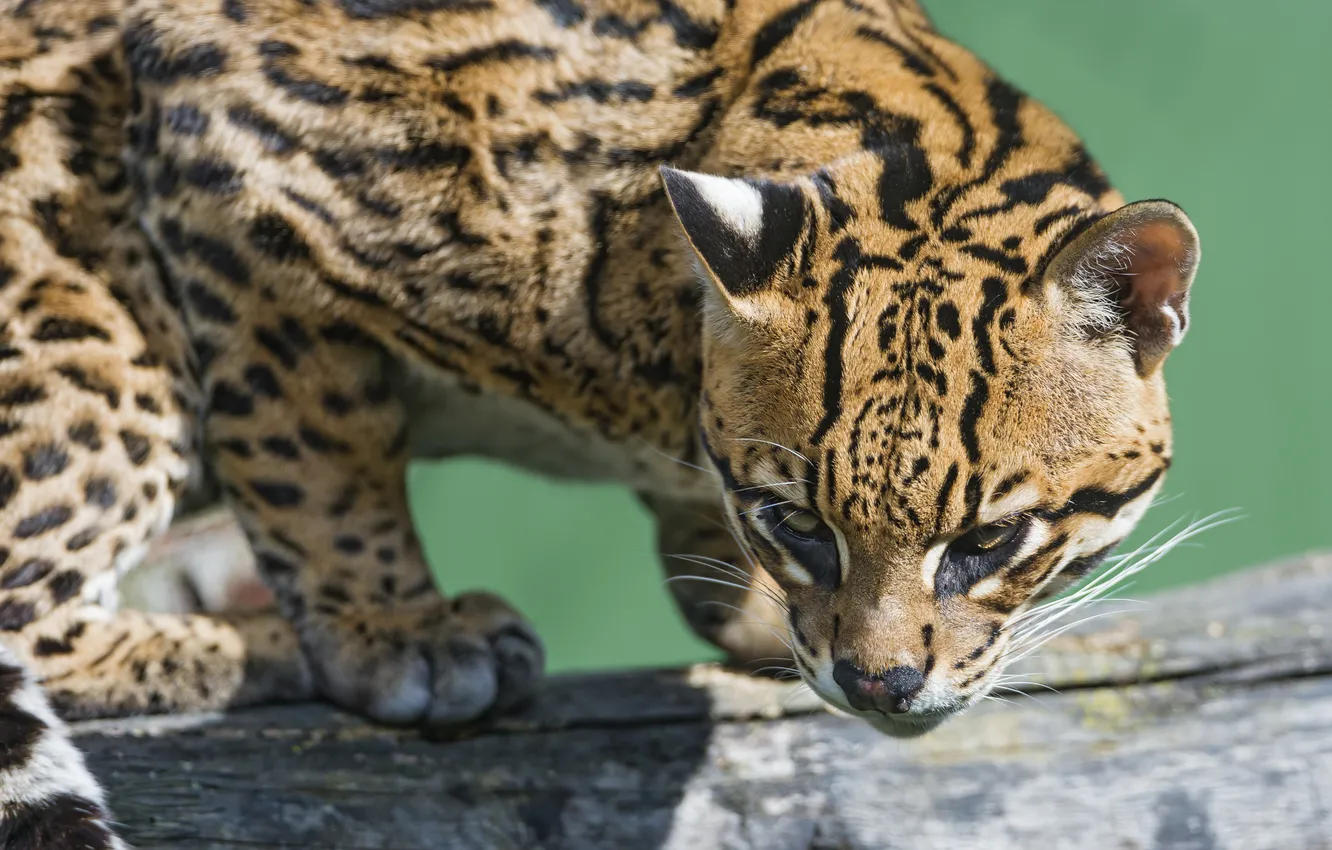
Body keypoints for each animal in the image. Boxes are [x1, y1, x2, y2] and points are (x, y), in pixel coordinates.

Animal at [0, 0, 1200, 844]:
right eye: (797, 521)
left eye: (990, 539)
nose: (877, 684)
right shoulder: (223, 154)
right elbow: (315, 453)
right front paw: (395, 631)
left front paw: (746, 605)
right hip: (100, 348)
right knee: (34, 610)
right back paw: (262, 636)